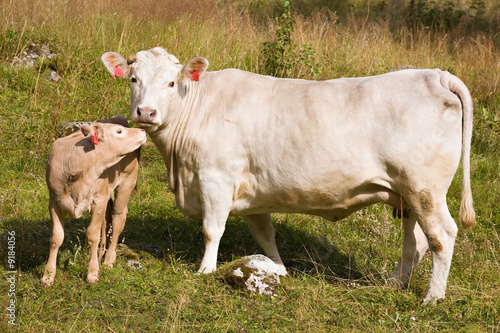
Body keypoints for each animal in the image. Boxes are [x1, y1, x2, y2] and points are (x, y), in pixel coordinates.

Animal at [42, 115, 146, 286]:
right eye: (119, 131)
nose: (142, 130)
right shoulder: (54, 202)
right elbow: (56, 237)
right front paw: (48, 276)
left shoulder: (98, 201)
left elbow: (92, 235)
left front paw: (92, 272)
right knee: (106, 220)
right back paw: (101, 252)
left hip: (127, 180)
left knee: (118, 217)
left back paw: (109, 258)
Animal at [101, 48, 476, 302]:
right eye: (134, 80)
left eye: (170, 82)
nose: (146, 112)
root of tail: (434, 74)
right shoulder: (251, 195)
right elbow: (266, 237)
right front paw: (278, 269)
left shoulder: (214, 179)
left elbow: (211, 230)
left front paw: (205, 271)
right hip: (406, 195)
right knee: (414, 243)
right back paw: (394, 283)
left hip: (424, 188)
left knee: (441, 236)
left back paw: (432, 297)